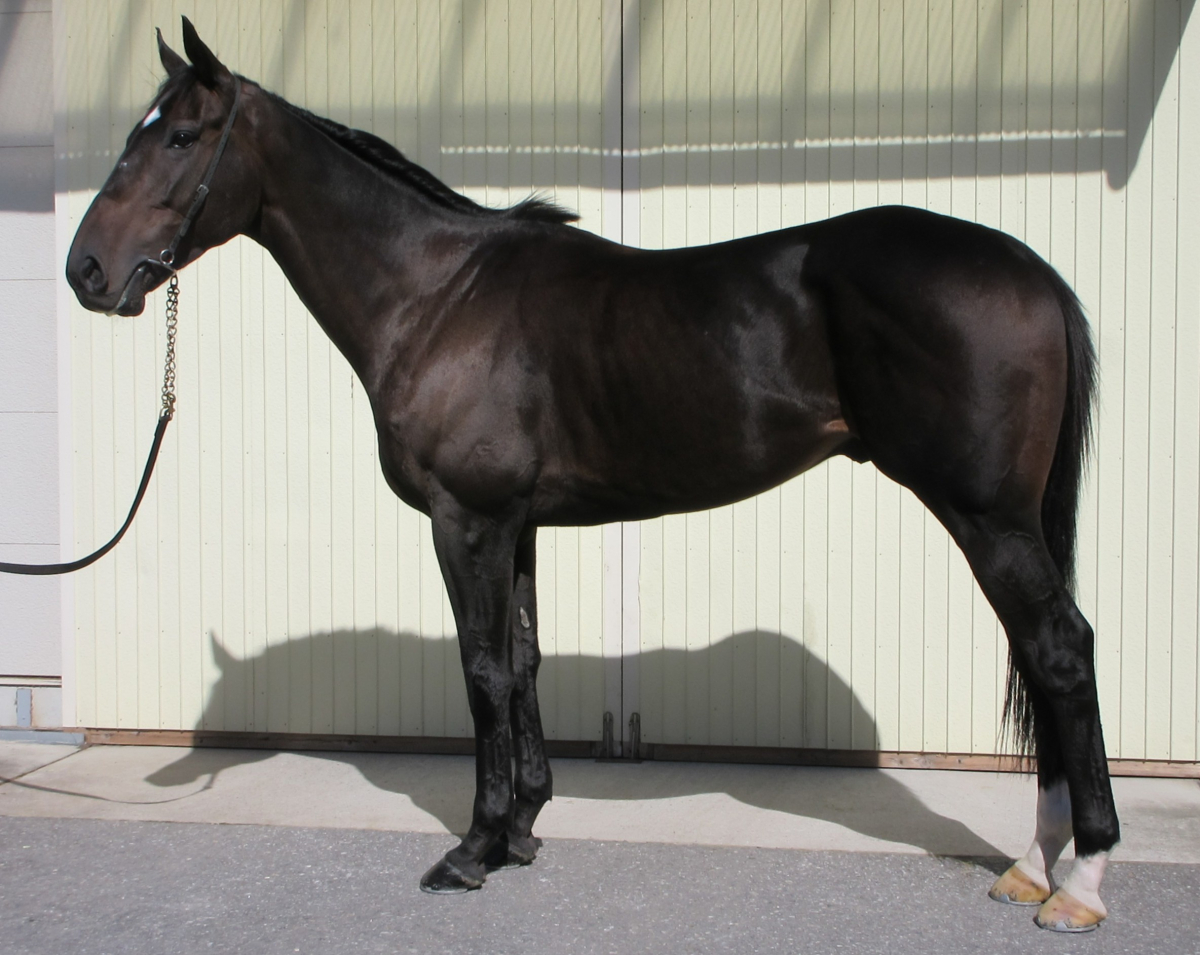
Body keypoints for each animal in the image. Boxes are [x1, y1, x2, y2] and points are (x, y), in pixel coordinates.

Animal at [65, 19, 1117, 933]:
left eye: (183, 136)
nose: (87, 272)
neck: (436, 294)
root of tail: (1029, 269)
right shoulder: (517, 523)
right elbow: (524, 661)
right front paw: (525, 828)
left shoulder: (467, 519)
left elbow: (483, 669)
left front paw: (474, 849)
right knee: (1037, 655)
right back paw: (1035, 866)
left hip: (987, 514)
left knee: (1060, 649)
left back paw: (1081, 880)